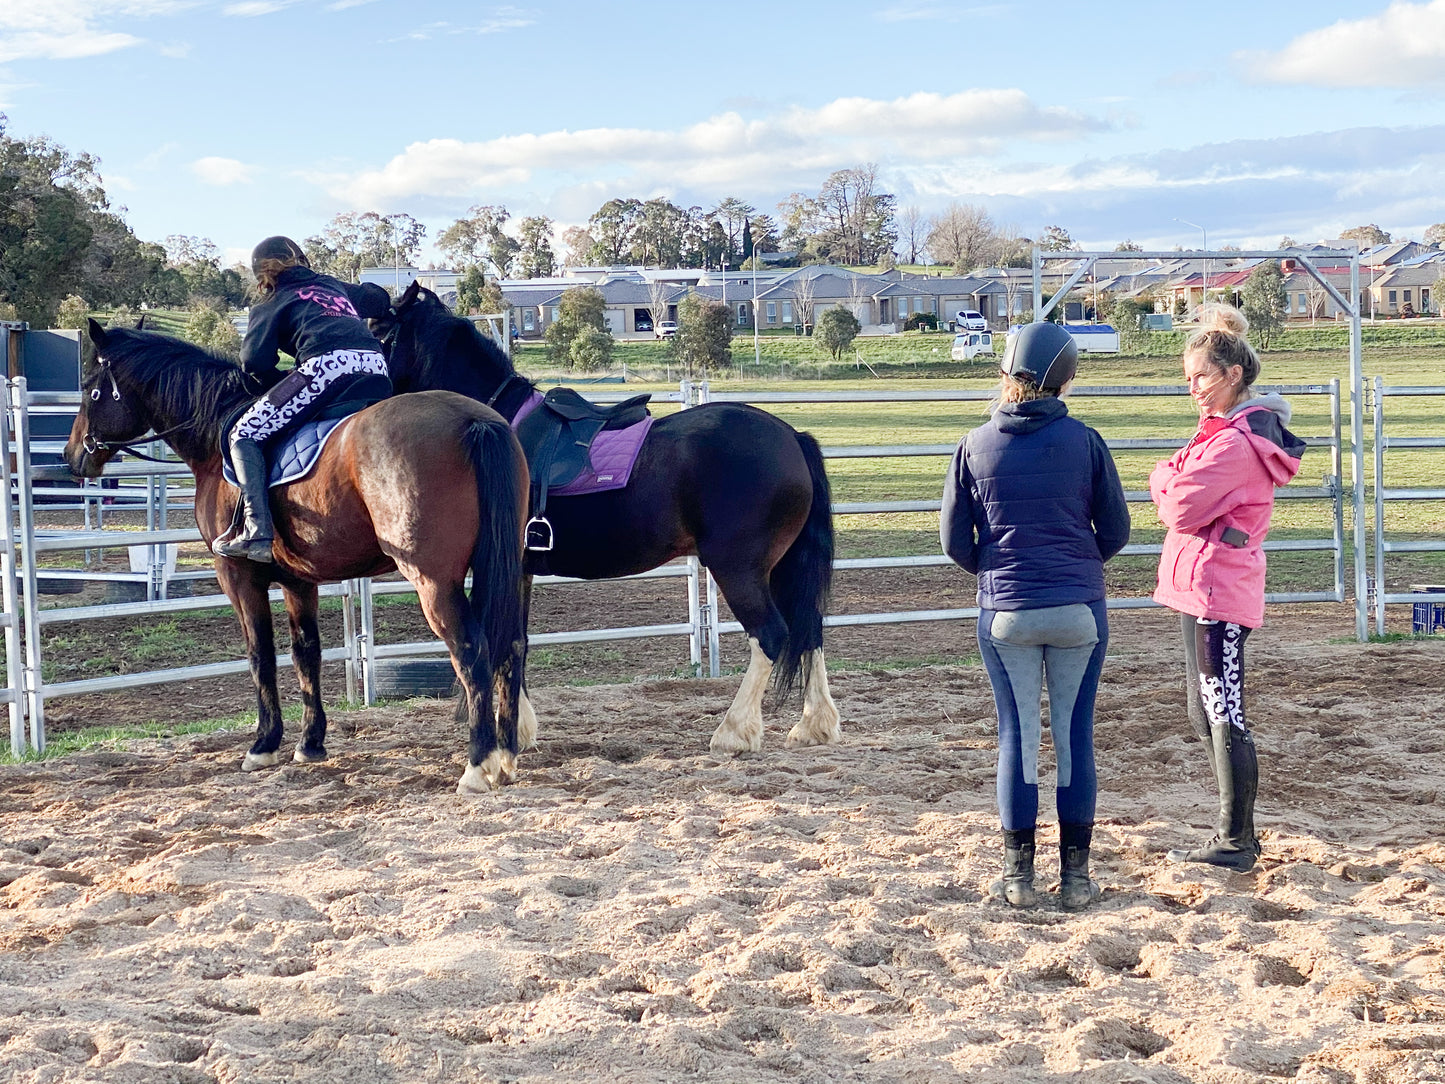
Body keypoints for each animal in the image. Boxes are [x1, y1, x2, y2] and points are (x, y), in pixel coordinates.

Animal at [66, 317, 531, 792]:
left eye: (91, 389)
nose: (73, 456)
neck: (216, 441)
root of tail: (474, 420)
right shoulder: (298, 580)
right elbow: (306, 653)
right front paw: (310, 743)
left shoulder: (238, 577)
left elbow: (261, 655)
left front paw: (264, 744)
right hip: (508, 568)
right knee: (512, 645)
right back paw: (507, 754)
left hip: (434, 582)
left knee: (472, 652)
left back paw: (478, 764)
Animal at [378, 281, 843, 757]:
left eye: (380, 331)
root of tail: (792, 437)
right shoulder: (520, 568)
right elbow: (516, 641)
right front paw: (521, 728)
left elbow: (500, 641)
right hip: (781, 566)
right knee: (810, 629)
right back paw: (814, 725)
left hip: (738, 568)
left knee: (771, 635)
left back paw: (733, 732)